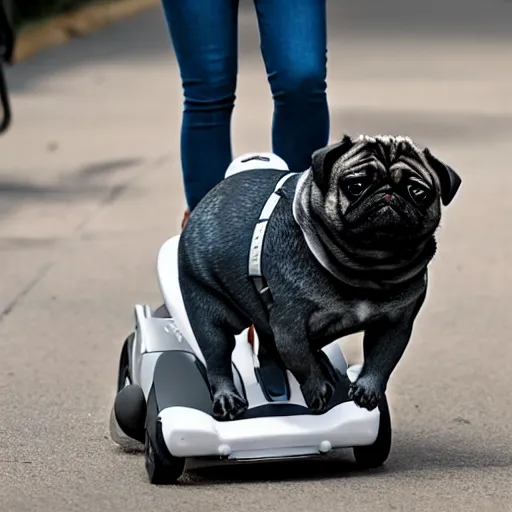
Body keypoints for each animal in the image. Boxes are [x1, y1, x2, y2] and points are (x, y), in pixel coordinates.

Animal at [178, 135, 462, 420]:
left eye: (418, 192)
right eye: (356, 186)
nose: (388, 194)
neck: (369, 266)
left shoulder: (395, 325)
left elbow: (381, 361)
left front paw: (366, 390)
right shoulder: (290, 326)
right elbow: (302, 361)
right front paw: (318, 390)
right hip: (210, 313)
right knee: (218, 358)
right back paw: (227, 398)